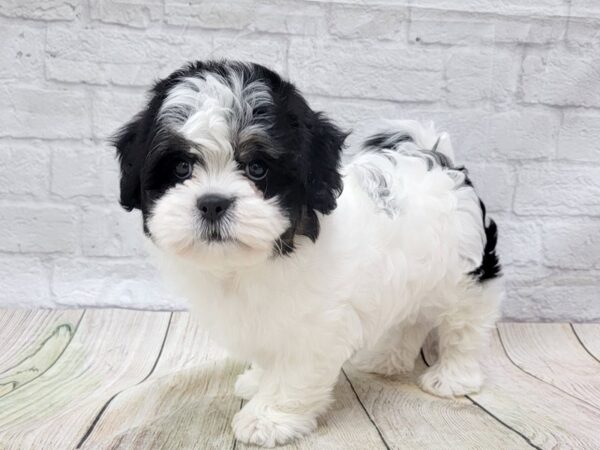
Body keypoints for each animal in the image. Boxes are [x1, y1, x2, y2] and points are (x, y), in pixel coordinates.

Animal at [112, 59, 502, 446]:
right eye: (181, 167)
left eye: (257, 168)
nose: (212, 202)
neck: (252, 263)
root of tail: (438, 160)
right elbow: (269, 355)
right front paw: (256, 381)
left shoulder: (317, 326)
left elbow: (293, 373)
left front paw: (266, 418)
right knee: (412, 318)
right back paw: (388, 361)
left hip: (465, 278)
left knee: (464, 327)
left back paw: (451, 377)